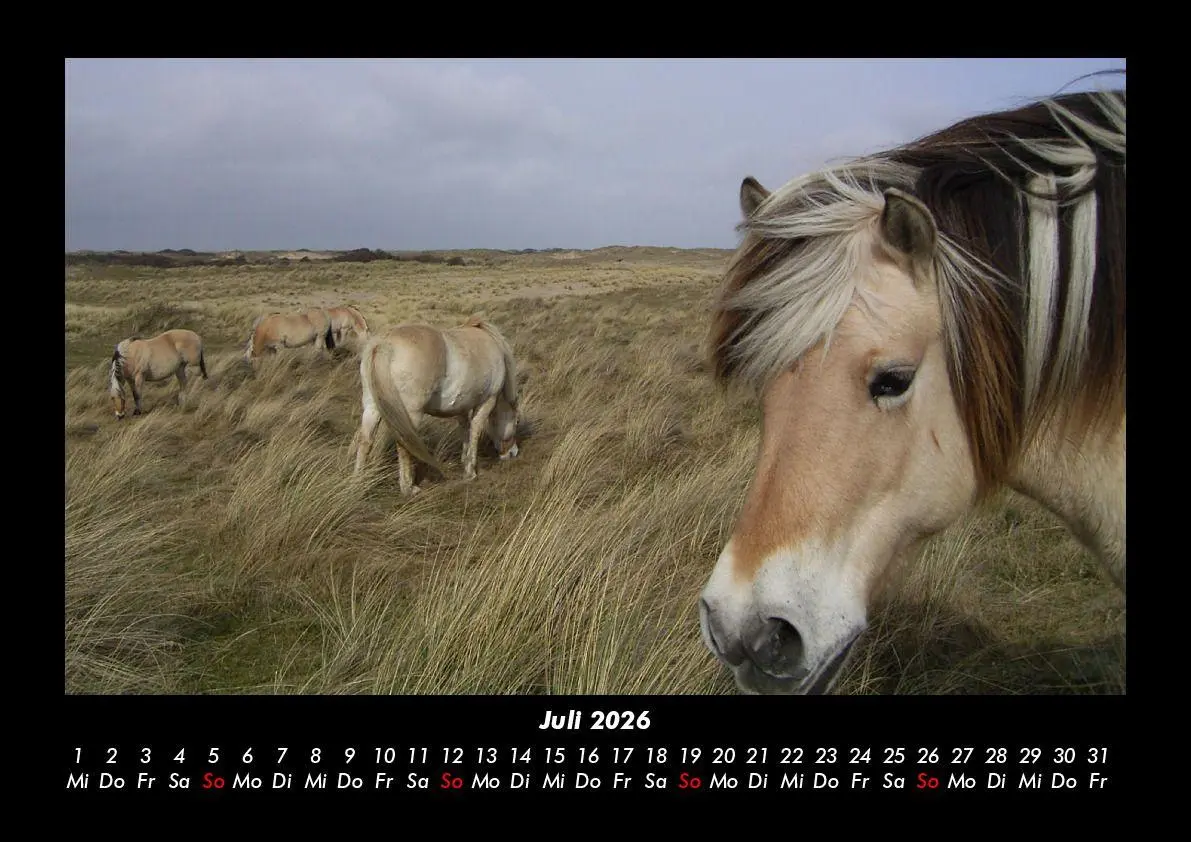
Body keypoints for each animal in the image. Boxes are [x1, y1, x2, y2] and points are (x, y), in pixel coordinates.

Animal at [352, 316, 521, 495]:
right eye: (516, 421)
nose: (513, 452)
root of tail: (384, 344)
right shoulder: (488, 401)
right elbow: (475, 429)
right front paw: (471, 472)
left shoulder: (462, 406)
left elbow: (465, 429)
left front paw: (464, 459)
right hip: (411, 414)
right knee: (404, 444)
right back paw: (408, 488)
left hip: (371, 407)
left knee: (365, 441)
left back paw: (358, 481)